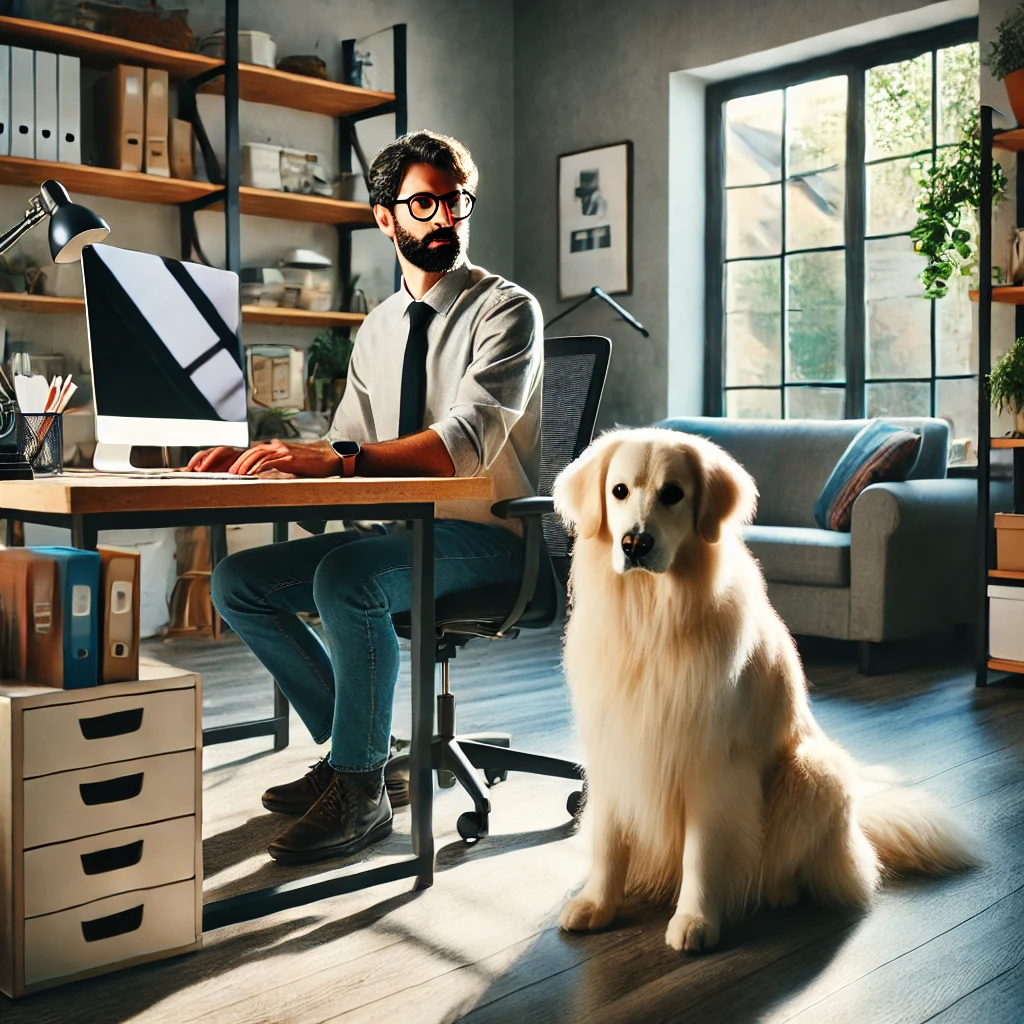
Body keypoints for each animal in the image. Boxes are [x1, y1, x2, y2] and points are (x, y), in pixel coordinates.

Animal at [557, 430, 970, 950]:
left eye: (673, 493)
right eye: (618, 491)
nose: (634, 542)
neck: (651, 621)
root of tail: (856, 830)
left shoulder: (712, 766)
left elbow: (702, 852)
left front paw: (695, 920)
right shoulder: (614, 752)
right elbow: (609, 845)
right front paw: (597, 904)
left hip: (814, 771)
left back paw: (779, 891)